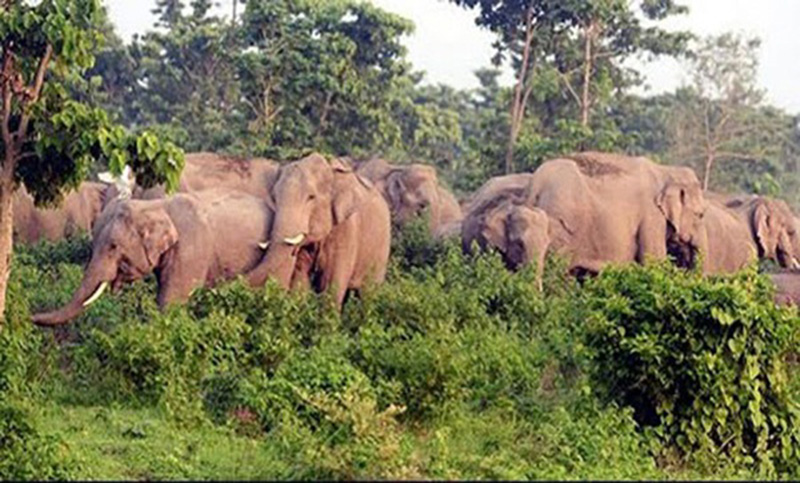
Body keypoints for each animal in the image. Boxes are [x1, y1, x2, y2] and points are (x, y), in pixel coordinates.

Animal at [245, 153, 392, 308]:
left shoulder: (347, 229)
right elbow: (299, 280)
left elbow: (332, 284)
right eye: (274, 198)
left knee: (369, 293)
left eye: (311, 197)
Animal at [524, 151, 708, 276]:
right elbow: (653, 261)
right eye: (700, 215)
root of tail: (536, 184)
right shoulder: (652, 216)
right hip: (562, 225)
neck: (666, 170)